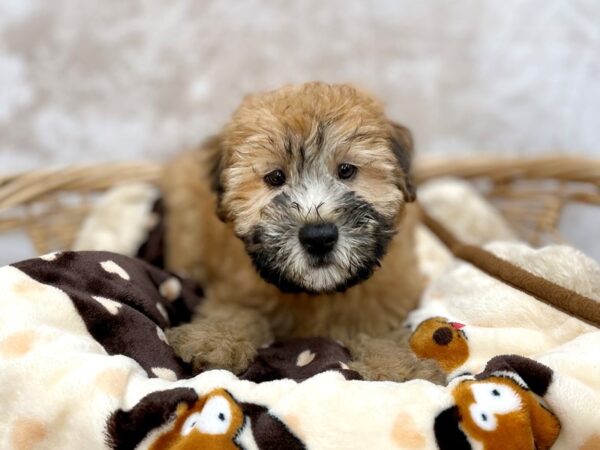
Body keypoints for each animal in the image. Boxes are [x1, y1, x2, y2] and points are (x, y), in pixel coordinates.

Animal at [162, 81, 442, 384]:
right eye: (275, 177)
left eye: (346, 170)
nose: (318, 238)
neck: (317, 295)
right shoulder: (236, 287)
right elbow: (237, 311)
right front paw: (213, 337)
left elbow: (380, 332)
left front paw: (400, 368)